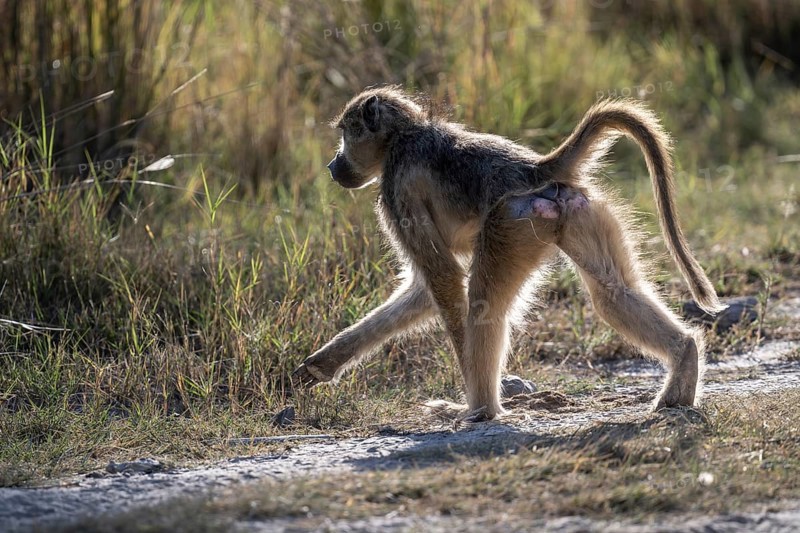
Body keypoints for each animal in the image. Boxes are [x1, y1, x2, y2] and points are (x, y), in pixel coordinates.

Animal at [293, 86, 724, 421]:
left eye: (347, 133)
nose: (333, 165)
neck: (403, 135)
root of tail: (532, 168)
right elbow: (423, 289)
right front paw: (323, 363)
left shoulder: (396, 190)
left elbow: (444, 278)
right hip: (576, 209)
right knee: (612, 293)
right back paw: (683, 363)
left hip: (511, 223)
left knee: (485, 304)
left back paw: (477, 409)